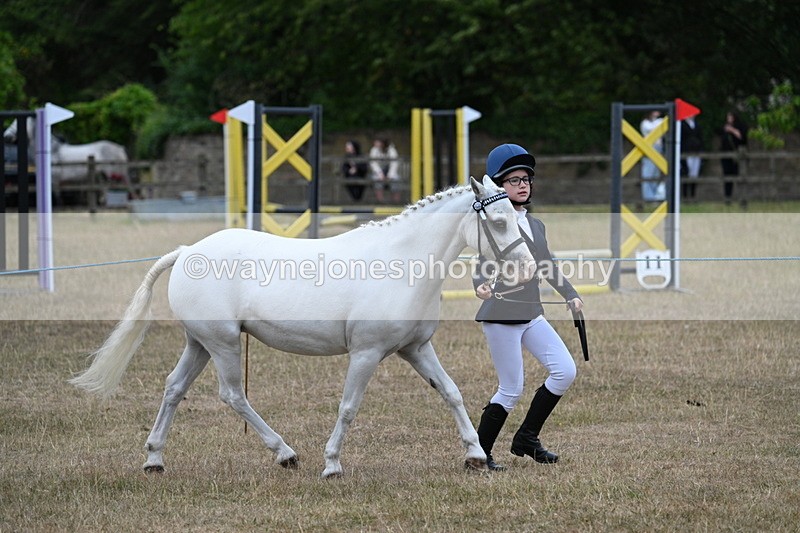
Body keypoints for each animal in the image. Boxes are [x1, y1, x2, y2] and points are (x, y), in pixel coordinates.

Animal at [69, 176, 536, 478]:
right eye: (498, 222)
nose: (528, 269)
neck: (401, 263)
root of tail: (186, 251)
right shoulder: (366, 354)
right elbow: (348, 407)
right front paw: (332, 465)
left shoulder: (416, 349)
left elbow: (451, 392)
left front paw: (475, 456)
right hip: (222, 344)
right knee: (232, 395)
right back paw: (285, 454)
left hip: (199, 343)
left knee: (174, 388)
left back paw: (154, 459)